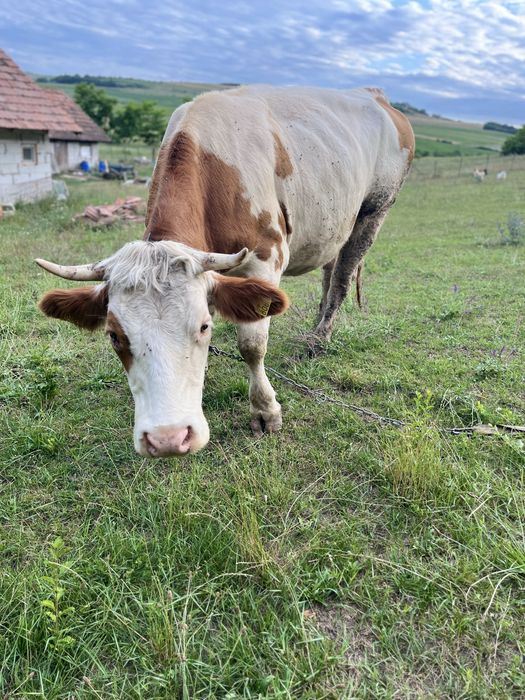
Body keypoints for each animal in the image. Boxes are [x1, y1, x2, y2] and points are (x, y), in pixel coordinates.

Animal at [36, 85, 414, 457]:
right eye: (114, 335)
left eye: (204, 326)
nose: (168, 439)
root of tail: (376, 96)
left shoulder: (264, 259)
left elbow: (252, 345)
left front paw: (265, 411)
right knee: (329, 270)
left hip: (375, 211)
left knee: (341, 279)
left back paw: (320, 338)